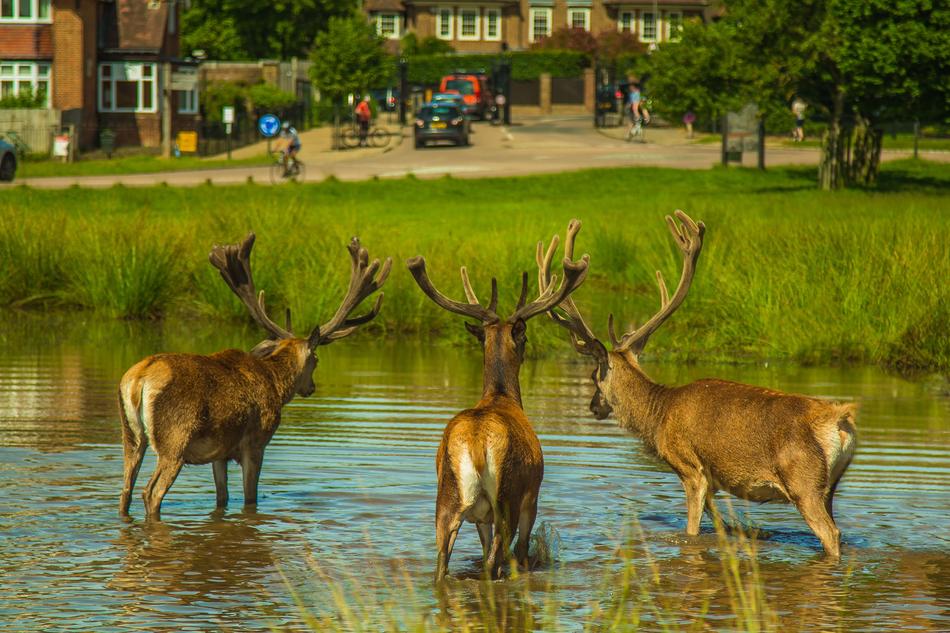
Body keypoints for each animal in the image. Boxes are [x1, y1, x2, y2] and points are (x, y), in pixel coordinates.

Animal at [118, 233, 391, 520]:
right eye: (316, 360)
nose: (312, 387)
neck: (275, 383)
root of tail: (139, 378)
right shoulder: (256, 442)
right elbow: (250, 498)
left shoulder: (220, 452)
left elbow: (222, 497)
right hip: (175, 440)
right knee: (151, 492)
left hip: (131, 436)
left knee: (125, 490)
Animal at [407, 241, 589, 582]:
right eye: (525, 337)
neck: (501, 396)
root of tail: (477, 444)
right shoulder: (532, 496)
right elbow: (521, 550)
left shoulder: (482, 518)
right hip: (507, 498)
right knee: (496, 560)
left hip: (446, 501)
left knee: (441, 562)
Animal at [539, 214, 857, 558]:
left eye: (593, 377)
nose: (593, 406)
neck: (658, 416)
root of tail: (839, 419)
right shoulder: (713, 481)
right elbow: (720, 525)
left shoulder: (690, 467)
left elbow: (690, 531)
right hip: (829, 487)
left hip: (803, 481)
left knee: (831, 533)